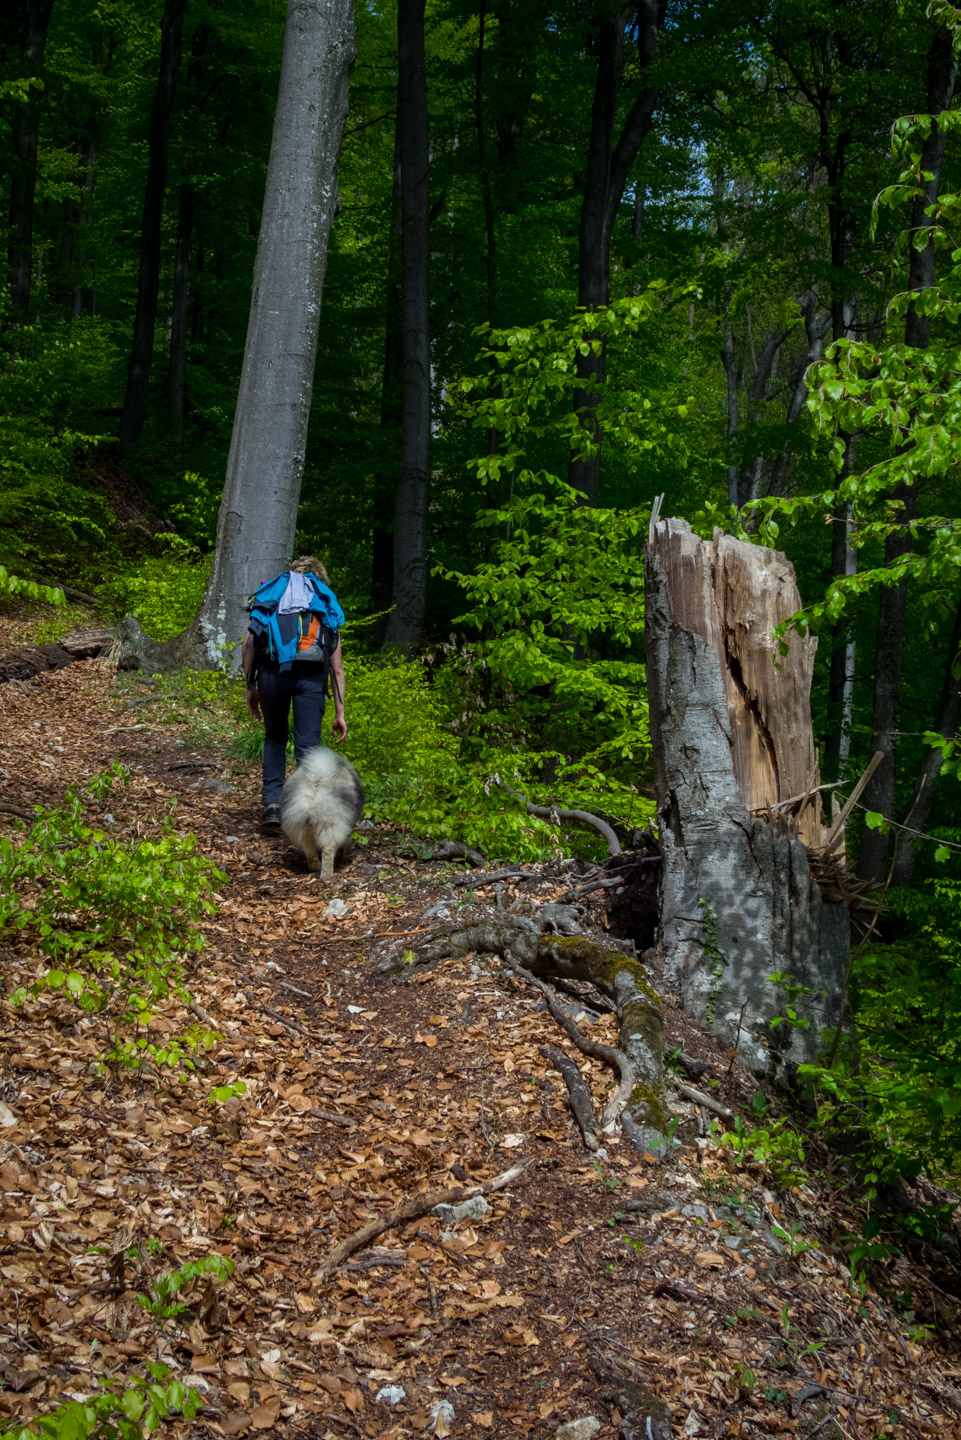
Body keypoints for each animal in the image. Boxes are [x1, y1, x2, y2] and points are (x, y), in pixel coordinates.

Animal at [282, 748, 368, 881]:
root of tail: (316, 781)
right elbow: (348, 840)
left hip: (301, 827)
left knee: (310, 852)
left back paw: (317, 867)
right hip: (330, 824)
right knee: (328, 850)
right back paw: (327, 875)